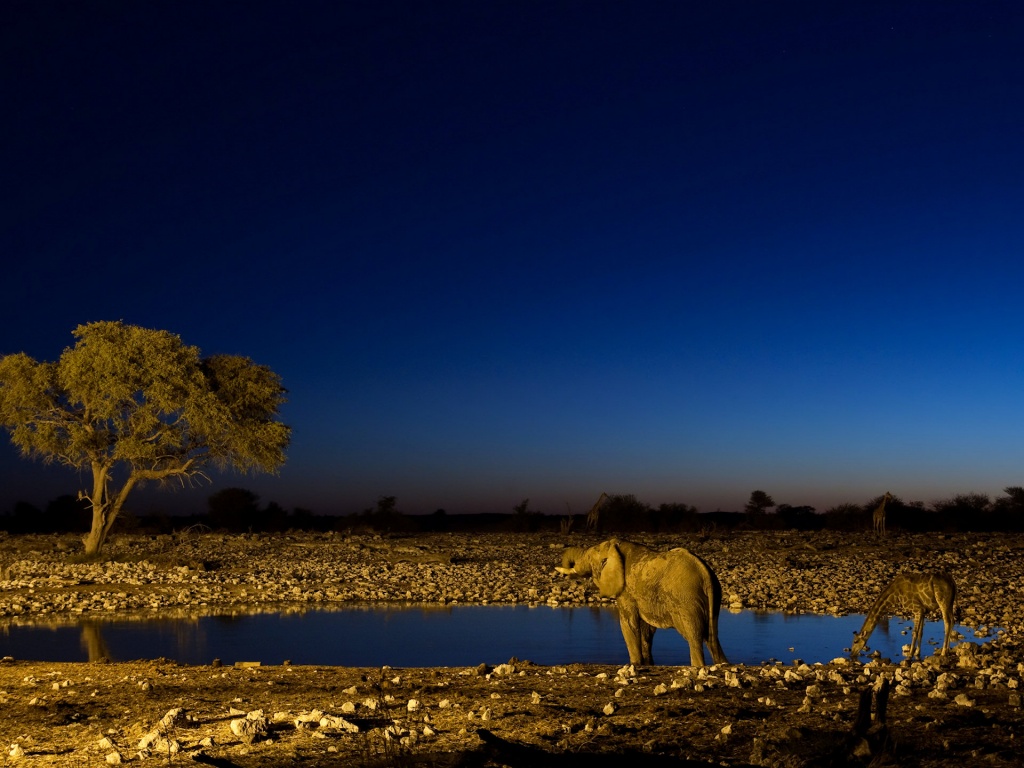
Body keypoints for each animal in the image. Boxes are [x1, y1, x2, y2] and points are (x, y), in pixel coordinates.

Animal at [556, 538, 728, 667]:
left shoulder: (626, 591)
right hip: (713, 597)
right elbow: (646, 629)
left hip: (686, 599)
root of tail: (705, 573)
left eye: (590, 557)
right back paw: (722, 664)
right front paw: (647, 663)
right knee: (712, 637)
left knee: (694, 636)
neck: (616, 546)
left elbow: (628, 623)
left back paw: (698, 666)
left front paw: (635, 664)